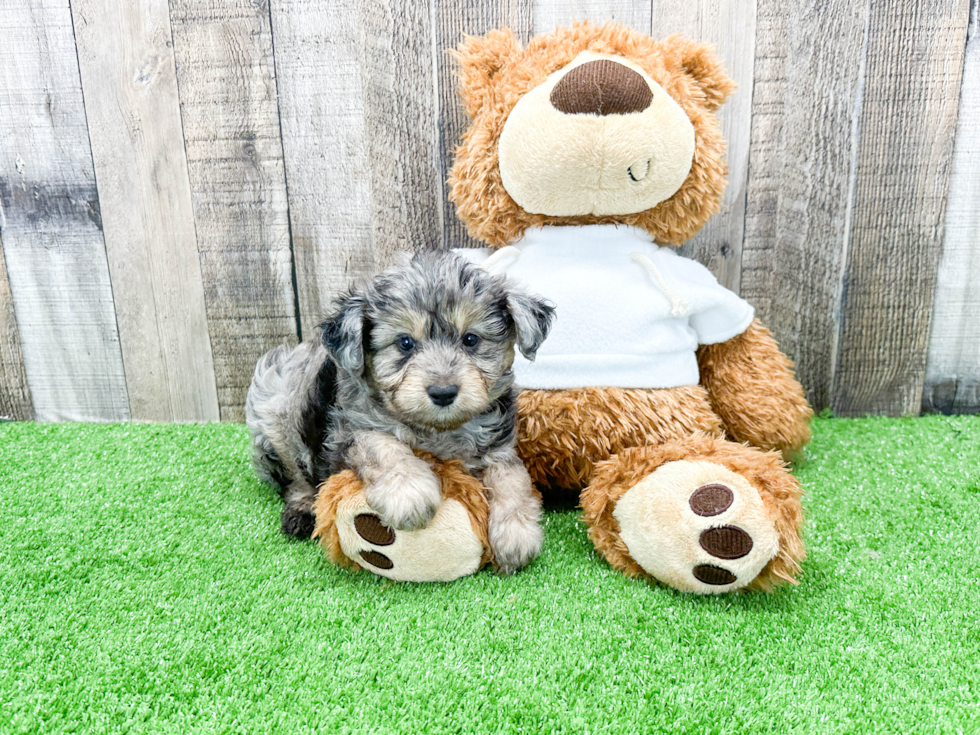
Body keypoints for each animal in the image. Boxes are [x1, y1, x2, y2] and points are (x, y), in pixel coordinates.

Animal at [244, 252, 556, 576]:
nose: (443, 392)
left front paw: (516, 533)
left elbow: (512, 477)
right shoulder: (348, 432)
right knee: (293, 476)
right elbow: (382, 445)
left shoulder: (499, 445)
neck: (437, 431)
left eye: (470, 340)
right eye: (405, 343)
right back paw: (302, 508)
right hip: (275, 410)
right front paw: (409, 492)